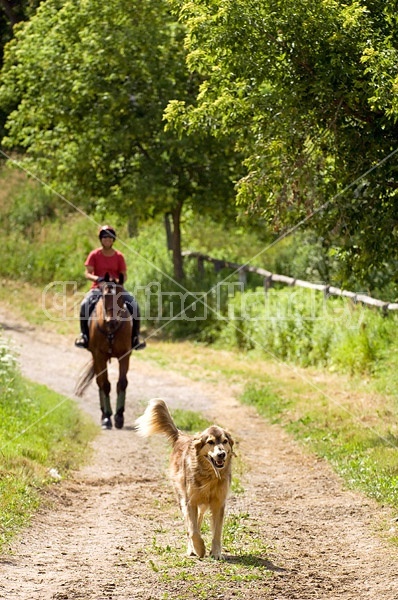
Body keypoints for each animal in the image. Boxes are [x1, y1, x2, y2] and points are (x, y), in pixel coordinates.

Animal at [74, 274, 131, 428]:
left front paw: (119, 417)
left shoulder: (125, 355)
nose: (112, 321)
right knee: (100, 382)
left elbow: (122, 383)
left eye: (121, 296)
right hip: (96, 357)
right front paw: (107, 418)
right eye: (105, 296)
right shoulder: (99, 356)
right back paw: (104, 413)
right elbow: (105, 384)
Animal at [134, 398, 233, 556]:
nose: (221, 454)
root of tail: (181, 436)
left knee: (199, 519)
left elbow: (217, 531)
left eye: (225, 441)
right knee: (190, 526)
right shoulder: (190, 501)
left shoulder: (219, 503)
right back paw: (192, 548)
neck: (209, 476)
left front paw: (216, 552)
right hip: (181, 497)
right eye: (210, 442)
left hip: (202, 504)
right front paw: (199, 549)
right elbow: (192, 530)